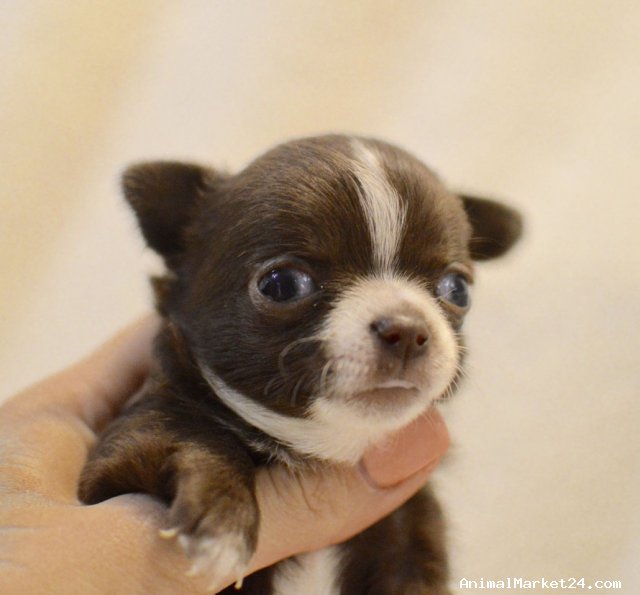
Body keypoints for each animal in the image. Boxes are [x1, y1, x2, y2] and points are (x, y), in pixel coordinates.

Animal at [79, 134, 522, 594]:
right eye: (281, 285)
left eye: (458, 289)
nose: (406, 328)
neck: (325, 447)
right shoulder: (120, 456)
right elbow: (198, 439)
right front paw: (221, 521)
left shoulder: (406, 526)